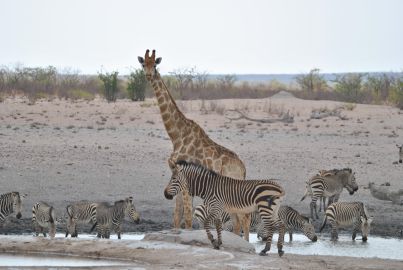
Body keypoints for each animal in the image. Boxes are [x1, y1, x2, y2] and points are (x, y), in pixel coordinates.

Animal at [139, 49, 251, 239]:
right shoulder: (177, 177)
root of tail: (243, 168)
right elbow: (177, 216)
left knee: (244, 219)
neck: (176, 136)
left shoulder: (186, 181)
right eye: (143, 64)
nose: (148, 75)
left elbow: (188, 218)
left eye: (155, 65)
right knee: (239, 221)